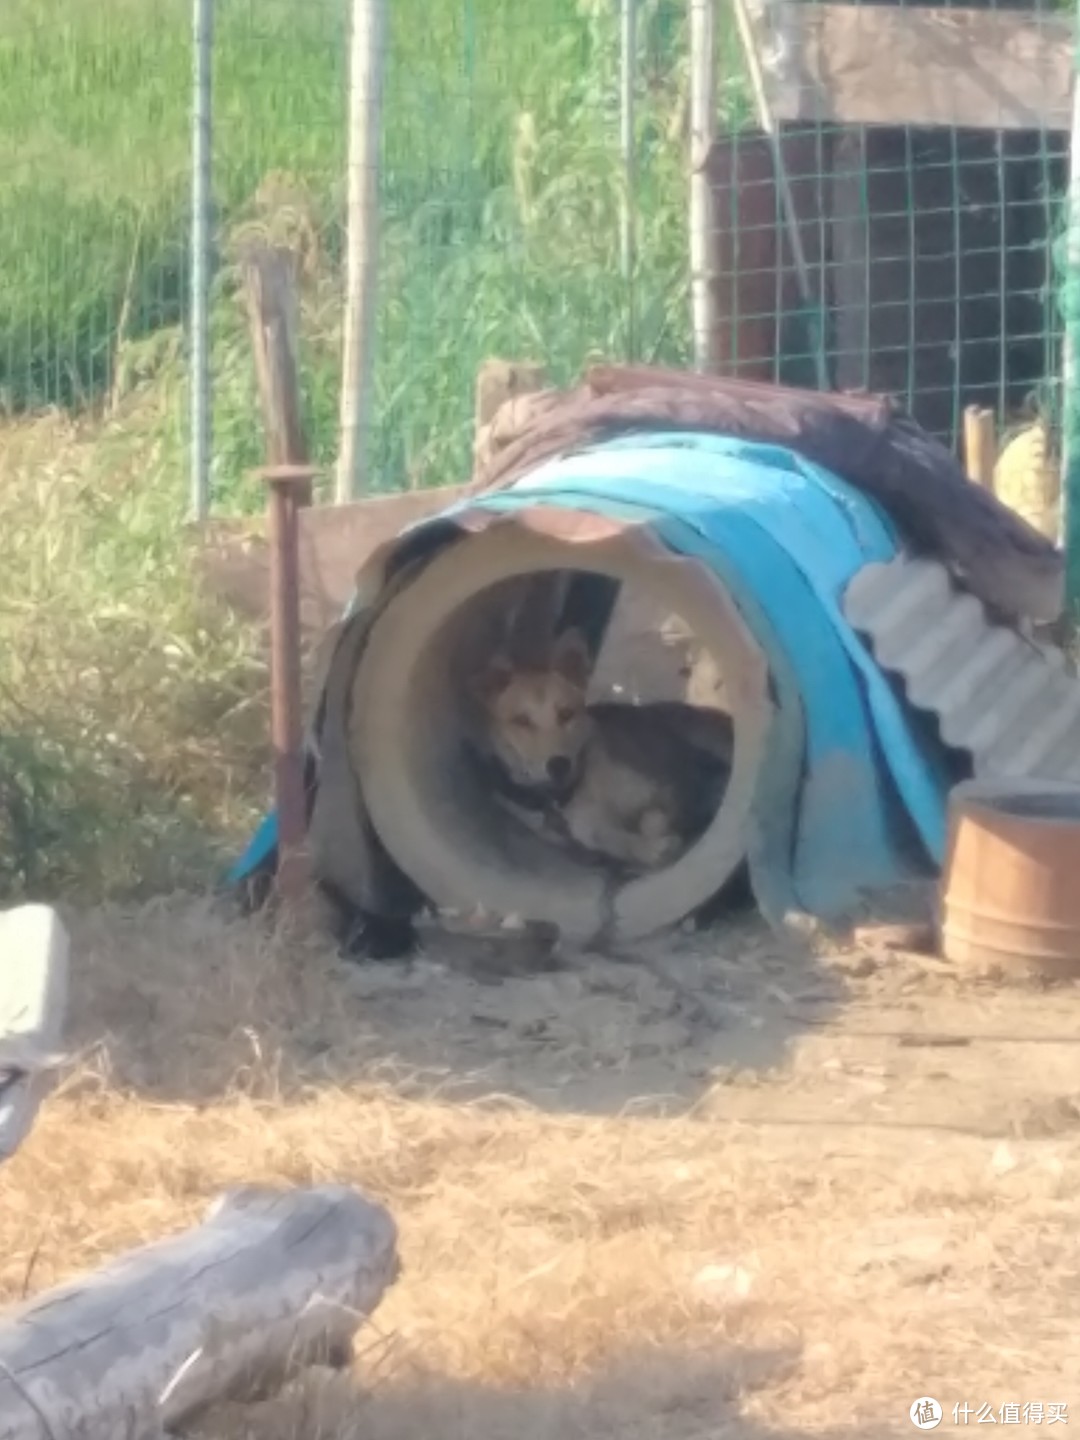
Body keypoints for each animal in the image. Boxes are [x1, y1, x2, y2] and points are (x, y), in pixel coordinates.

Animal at [466, 627, 737, 869]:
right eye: (521, 721)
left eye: (566, 714)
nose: (559, 765)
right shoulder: (586, 828)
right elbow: (614, 838)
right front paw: (650, 848)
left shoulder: (669, 782)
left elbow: (652, 819)